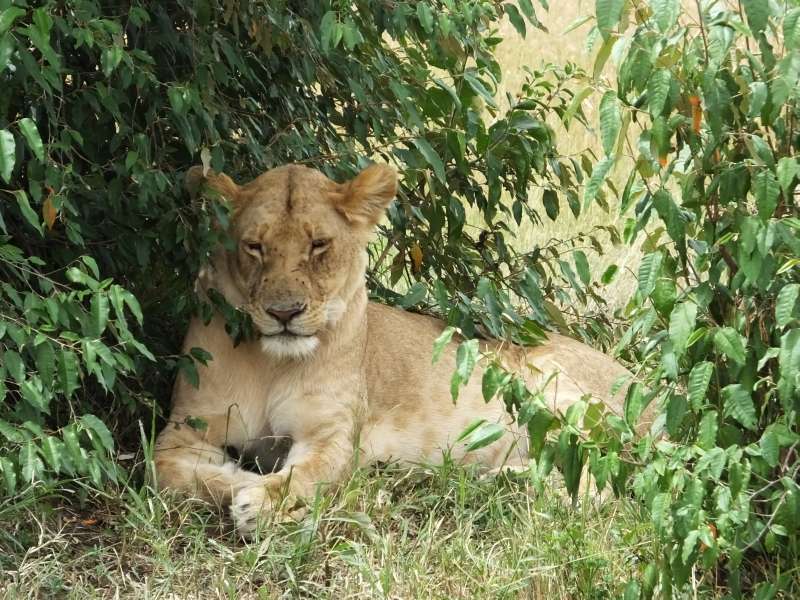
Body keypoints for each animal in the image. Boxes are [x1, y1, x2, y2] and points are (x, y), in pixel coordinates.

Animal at [154, 163, 640, 534]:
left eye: (319, 244)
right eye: (254, 246)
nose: (285, 312)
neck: (273, 363)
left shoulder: (333, 435)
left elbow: (306, 475)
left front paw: (263, 502)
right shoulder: (185, 429)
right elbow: (169, 474)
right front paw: (242, 483)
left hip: (555, 389)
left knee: (608, 480)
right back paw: (497, 481)